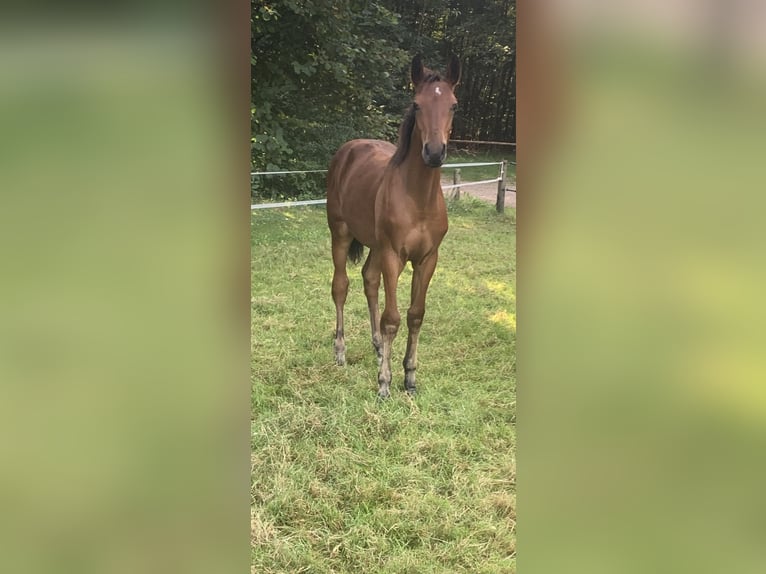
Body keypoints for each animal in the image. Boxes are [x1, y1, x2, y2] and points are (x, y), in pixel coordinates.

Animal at [326, 55, 460, 400]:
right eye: (417, 104)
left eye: (454, 105)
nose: (434, 152)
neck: (419, 199)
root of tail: (348, 149)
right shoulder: (393, 255)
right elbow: (392, 318)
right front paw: (384, 382)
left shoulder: (428, 259)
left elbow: (415, 315)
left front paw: (409, 376)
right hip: (341, 234)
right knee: (341, 286)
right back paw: (341, 351)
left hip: (374, 245)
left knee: (369, 280)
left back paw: (376, 348)